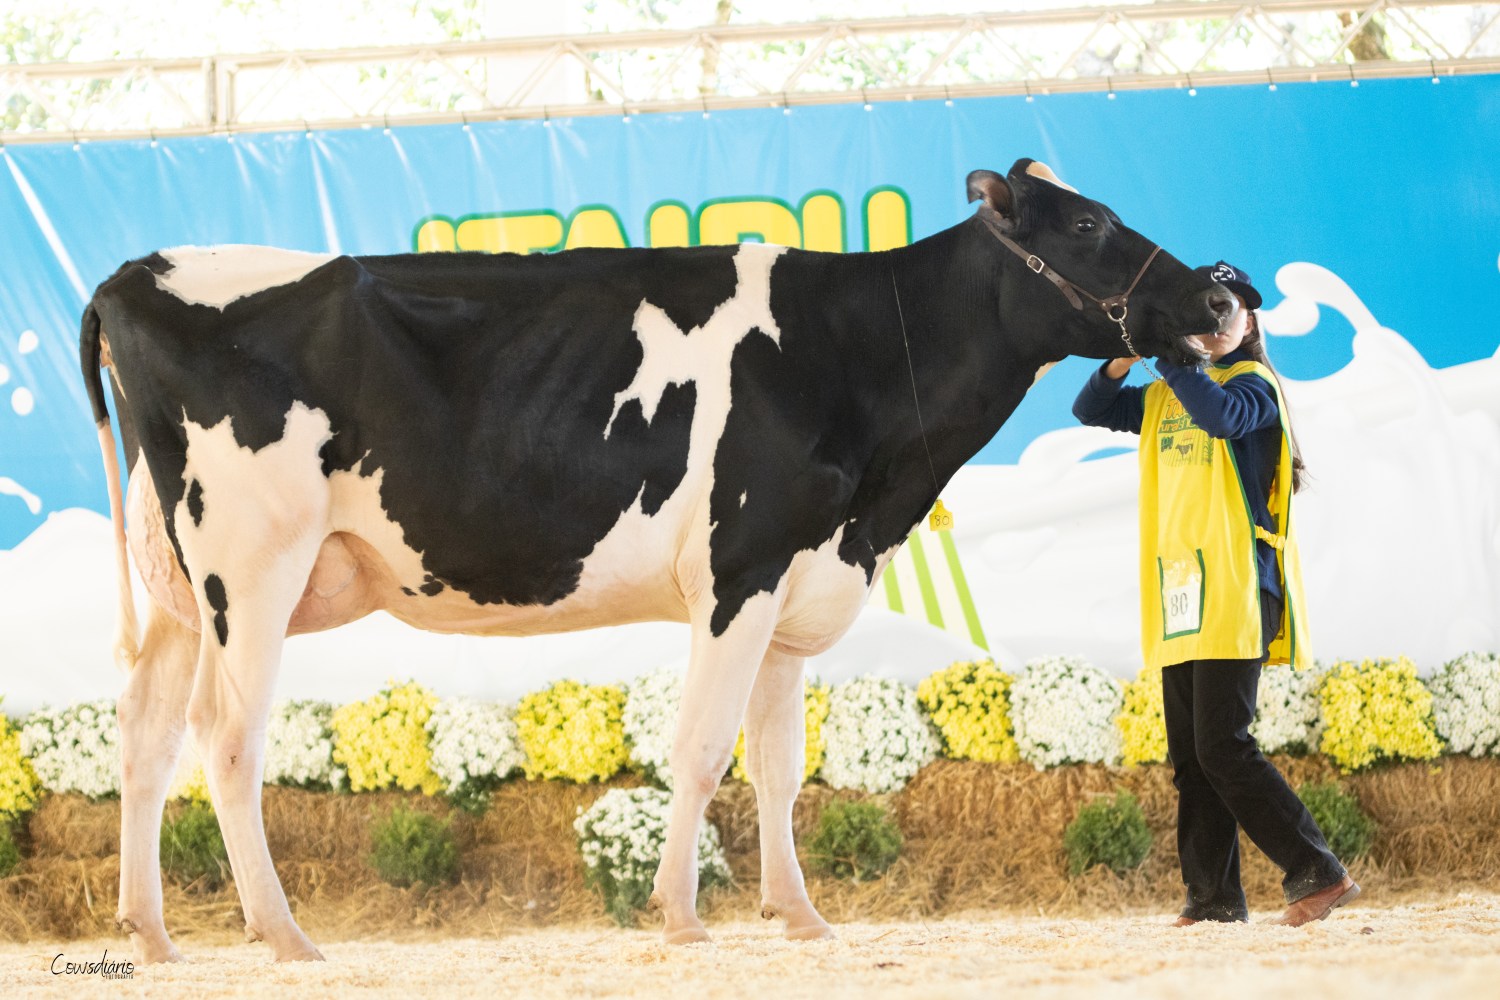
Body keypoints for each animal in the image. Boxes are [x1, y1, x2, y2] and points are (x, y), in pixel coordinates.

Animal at [79, 158, 1230, 959]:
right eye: (1087, 224)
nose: (1219, 299)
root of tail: (137, 272)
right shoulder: (740, 568)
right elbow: (703, 747)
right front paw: (680, 916)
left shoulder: (796, 583)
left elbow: (779, 762)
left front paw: (799, 915)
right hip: (249, 568)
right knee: (225, 736)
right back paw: (283, 934)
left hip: (177, 590)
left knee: (142, 737)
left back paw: (153, 935)